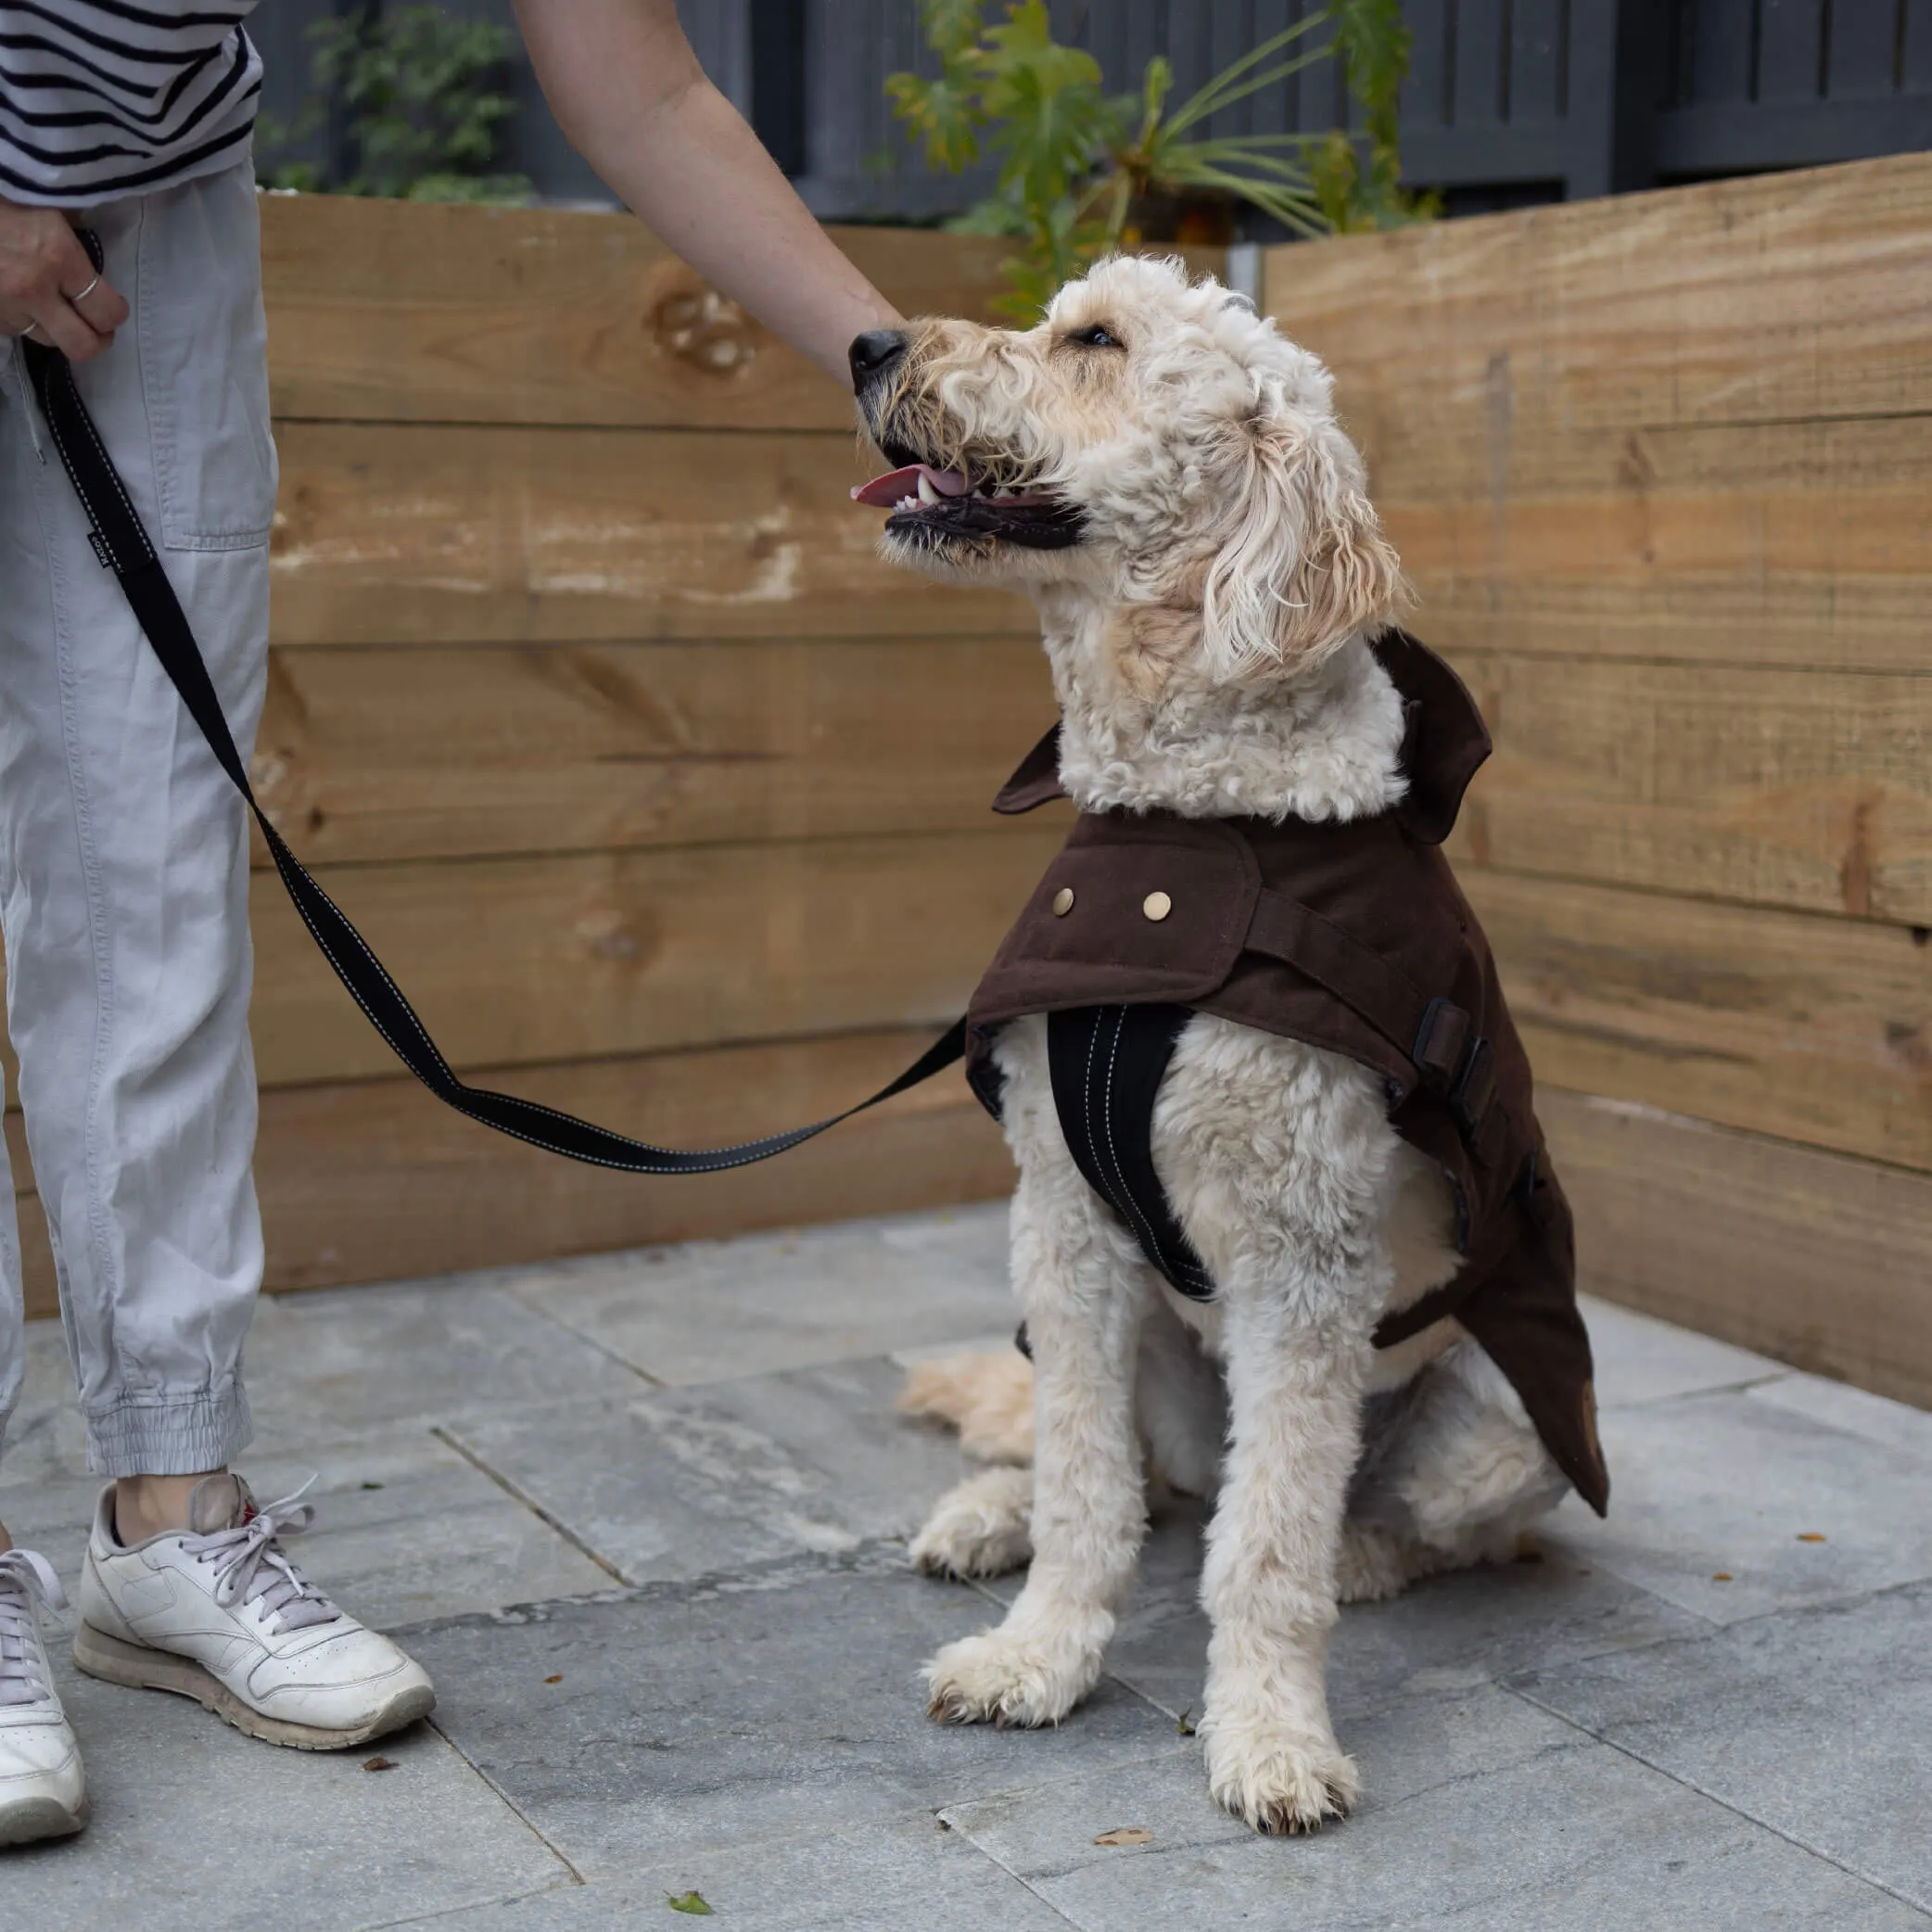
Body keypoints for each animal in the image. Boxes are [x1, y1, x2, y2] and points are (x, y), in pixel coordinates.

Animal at [845, 261, 1569, 1838]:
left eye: (1095, 342)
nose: (863, 341)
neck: (1188, 821)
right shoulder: (1062, 1226)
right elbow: (1084, 1488)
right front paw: (1040, 1655)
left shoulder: (1306, 1266)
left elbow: (1266, 1546)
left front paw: (1272, 1737)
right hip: (1137, 1356)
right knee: (1142, 1476)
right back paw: (987, 1519)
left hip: (1503, 1426)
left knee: (1407, 1524)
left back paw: (1368, 1556)